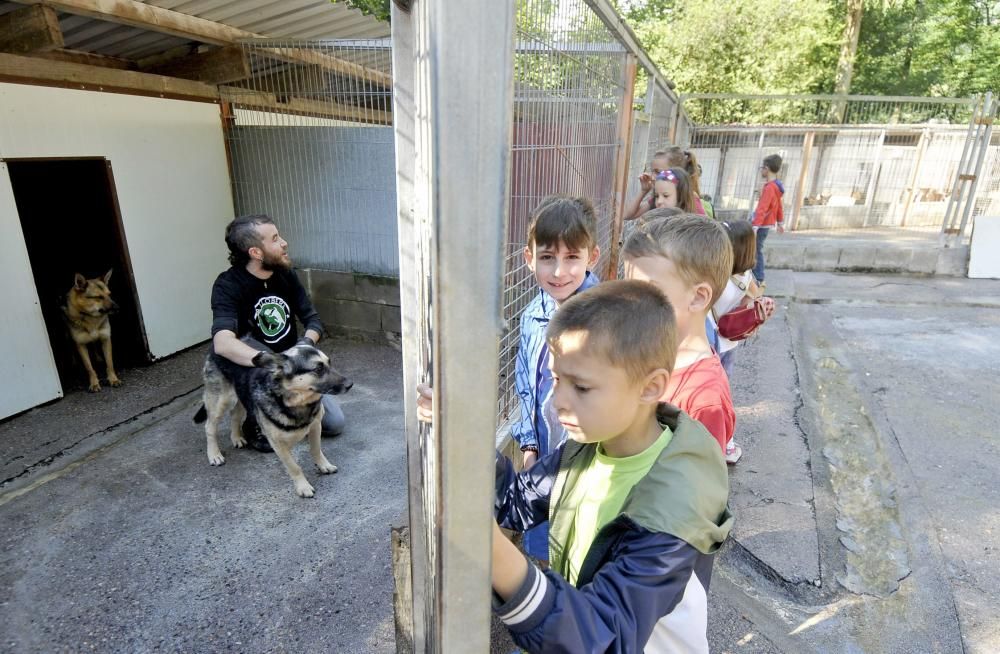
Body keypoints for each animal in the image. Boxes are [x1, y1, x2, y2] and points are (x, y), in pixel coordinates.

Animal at [193, 340, 354, 500]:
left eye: (329, 363)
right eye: (318, 369)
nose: (350, 384)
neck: (294, 403)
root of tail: (213, 346)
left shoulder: (315, 426)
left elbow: (316, 450)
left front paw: (324, 465)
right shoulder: (277, 443)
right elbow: (294, 467)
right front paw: (303, 486)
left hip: (240, 395)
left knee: (235, 415)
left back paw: (236, 437)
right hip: (220, 401)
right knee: (209, 427)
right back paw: (214, 455)